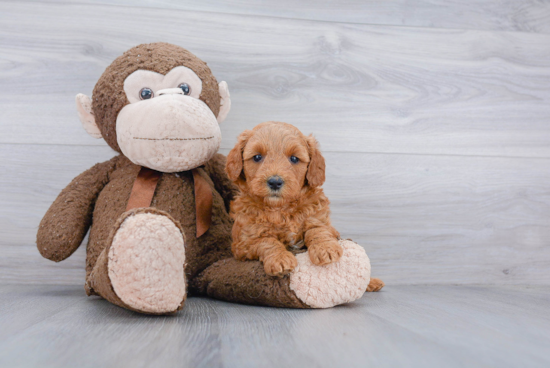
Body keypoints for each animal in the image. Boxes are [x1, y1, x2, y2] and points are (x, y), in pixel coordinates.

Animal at [224, 122, 384, 292]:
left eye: (294, 158)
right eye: (257, 157)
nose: (275, 182)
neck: (281, 209)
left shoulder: (321, 219)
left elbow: (318, 229)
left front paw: (325, 248)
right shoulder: (244, 243)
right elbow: (267, 241)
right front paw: (280, 259)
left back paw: (372, 282)